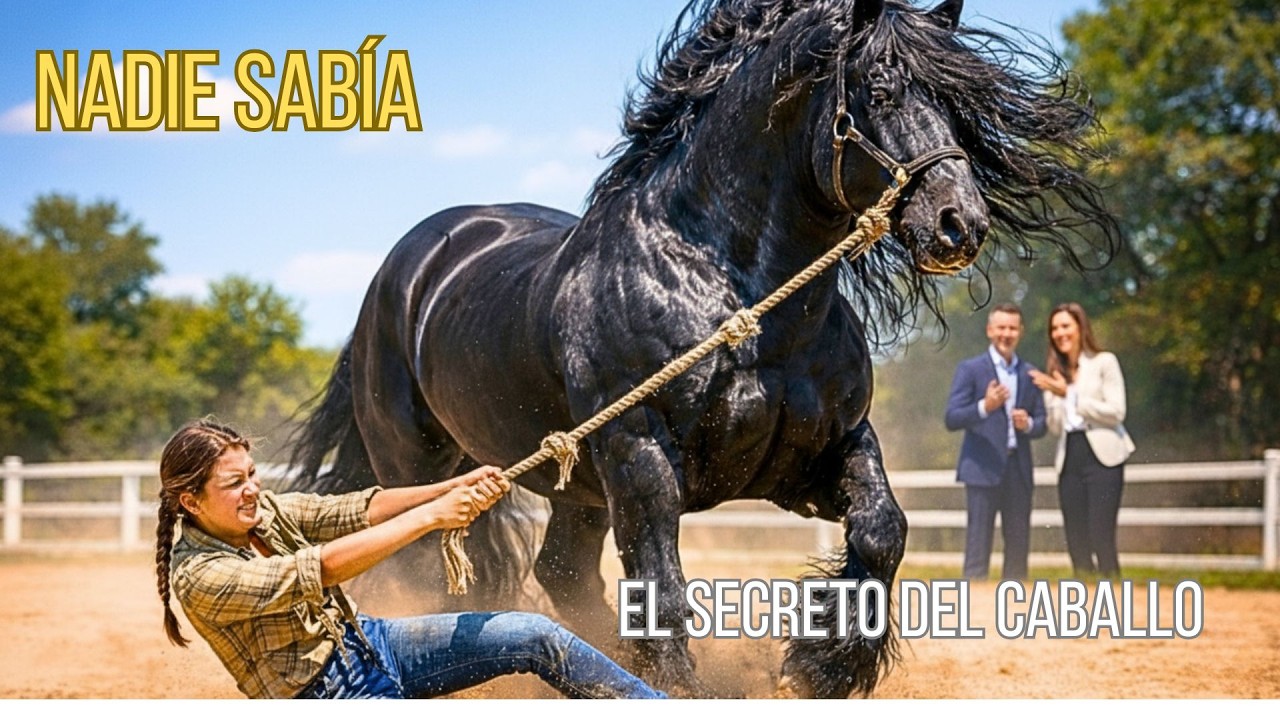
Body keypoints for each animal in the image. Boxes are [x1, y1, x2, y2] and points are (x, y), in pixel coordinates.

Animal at [287, 0, 1117, 698]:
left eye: (953, 101)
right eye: (879, 89)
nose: (960, 224)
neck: (734, 294)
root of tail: (407, 267)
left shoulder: (825, 452)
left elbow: (883, 531)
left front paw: (824, 664)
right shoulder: (641, 459)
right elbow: (662, 587)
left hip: (578, 490)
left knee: (561, 573)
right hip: (420, 465)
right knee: (429, 573)